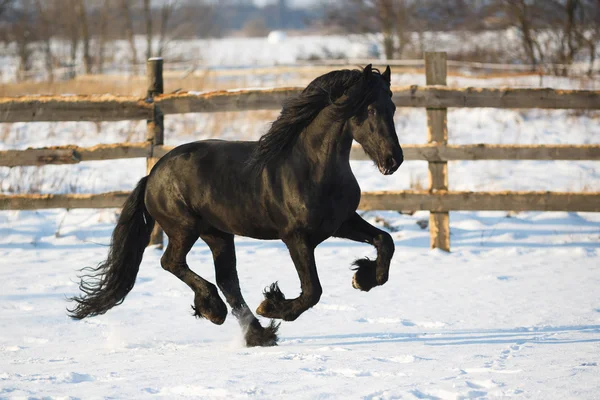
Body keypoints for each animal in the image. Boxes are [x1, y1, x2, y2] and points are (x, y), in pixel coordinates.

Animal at [69, 65, 404, 346]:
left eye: (393, 108)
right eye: (370, 109)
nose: (393, 160)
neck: (311, 167)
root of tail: (153, 174)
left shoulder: (341, 222)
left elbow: (385, 242)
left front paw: (362, 278)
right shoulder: (296, 237)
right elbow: (312, 291)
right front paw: (272, 305)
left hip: (218, 234)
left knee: (227, 281)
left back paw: (257, 334)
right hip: (184, 229)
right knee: (172, 263)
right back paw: (214, 310)